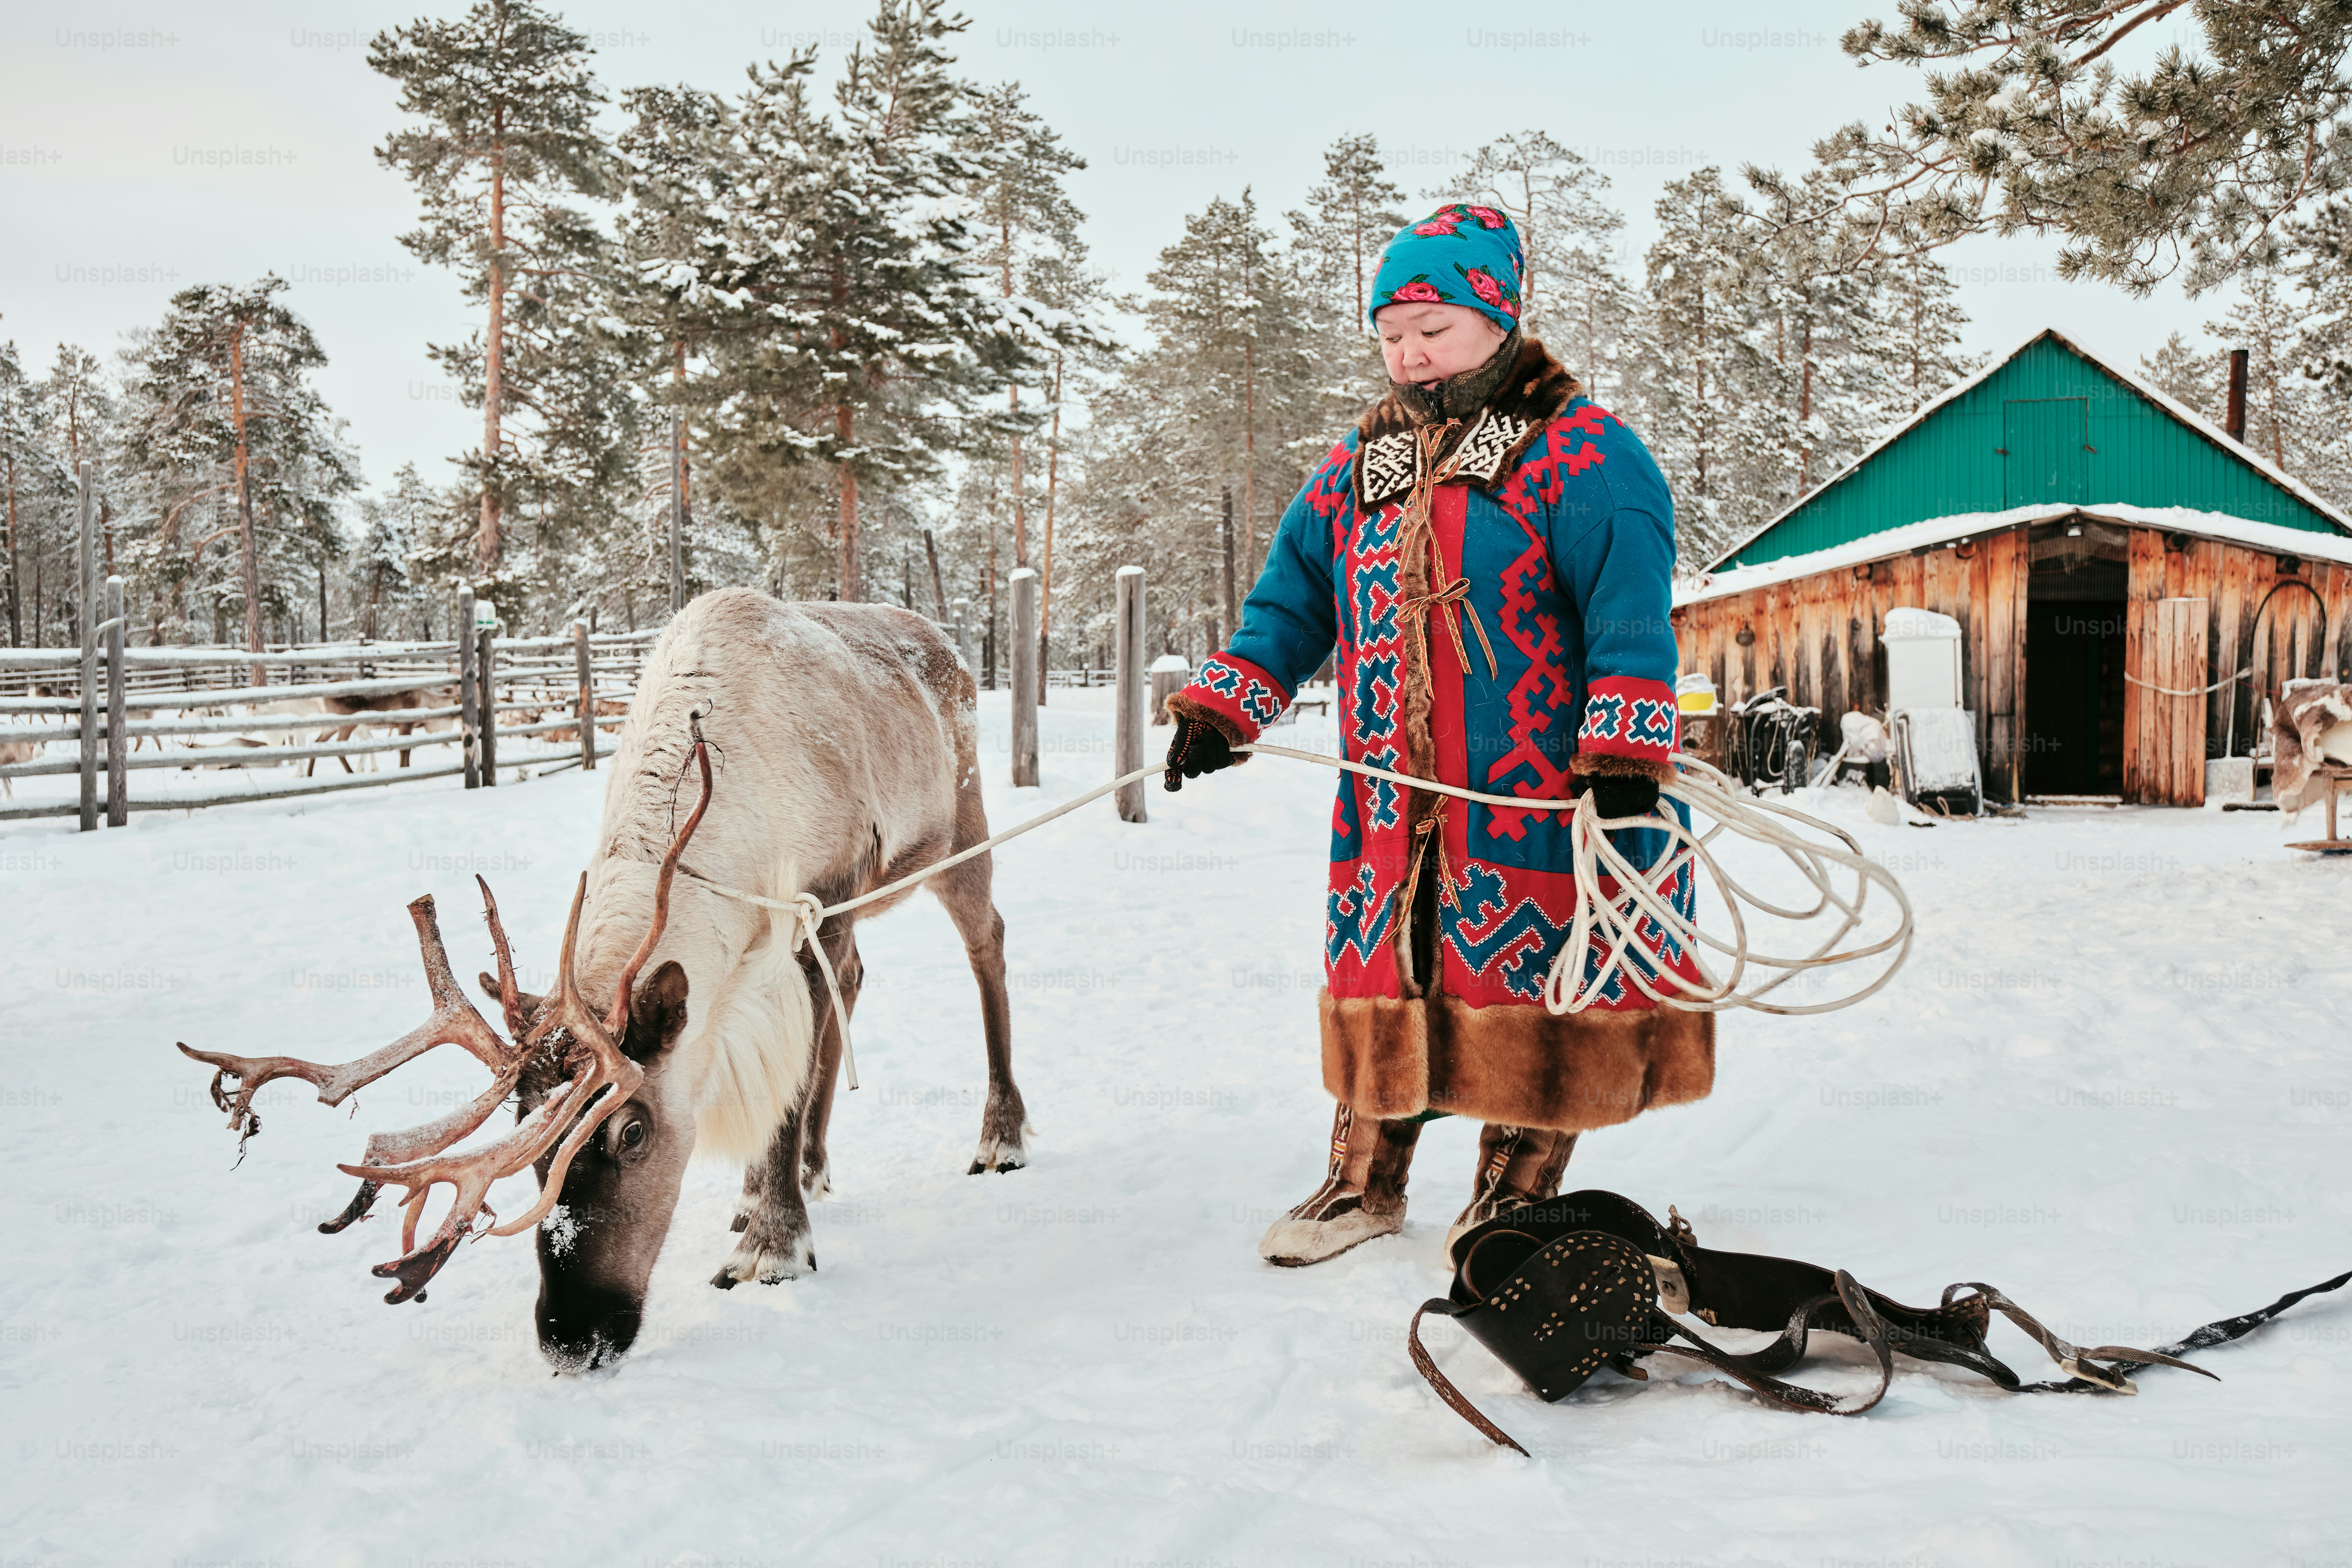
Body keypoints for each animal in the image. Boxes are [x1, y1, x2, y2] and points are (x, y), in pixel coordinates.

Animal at [176, 588, 1031, 1371]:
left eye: (633, 1130)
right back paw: (817, 1167)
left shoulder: (824, 898)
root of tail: (944, 643)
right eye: (530, 1138)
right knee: (854, 982)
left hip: (960, 827)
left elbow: (784, 1091)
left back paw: (1001, 1135)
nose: (570, 1338)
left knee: (987, 942)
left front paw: (771, 1246)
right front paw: (763, 1198)